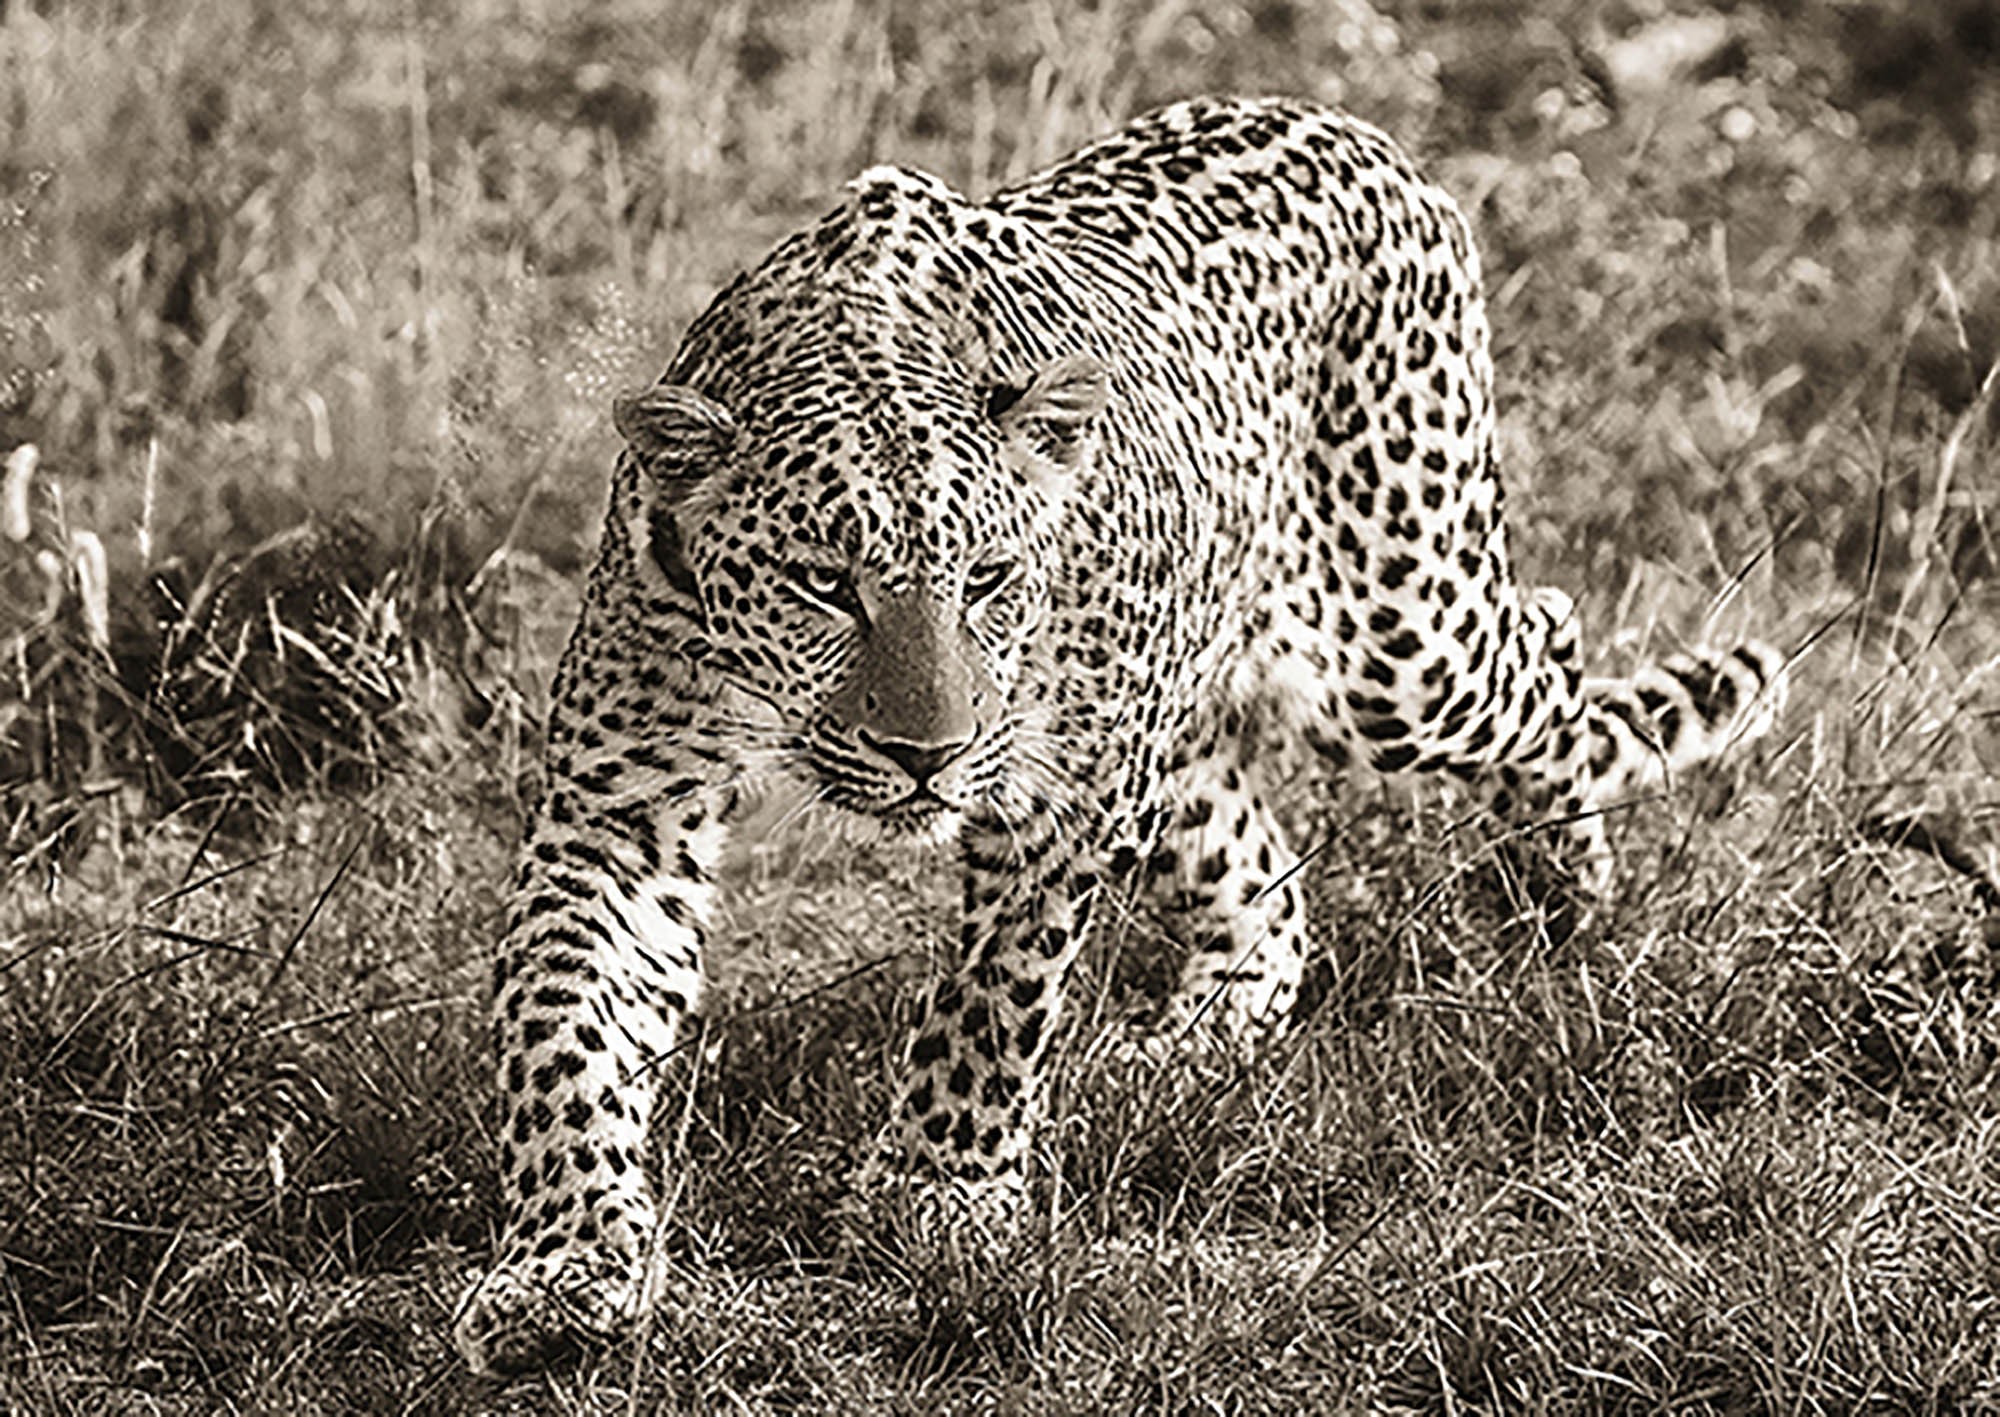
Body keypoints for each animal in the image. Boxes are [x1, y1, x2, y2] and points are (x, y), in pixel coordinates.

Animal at [452, 94, 1788, 1374]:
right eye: (825, 583)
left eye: (989, 579)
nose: (928, 755)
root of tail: (1363, 133)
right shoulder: (617, 811)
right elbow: (557, 1027)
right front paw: (563, 1262)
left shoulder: (1060, 797)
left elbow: (992, 999)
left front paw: (936, 1192)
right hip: (1184, 717)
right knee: (1268, 884)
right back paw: (1188, 1043)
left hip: (1395, 639)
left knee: (1548, 638)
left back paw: (1559, 885)